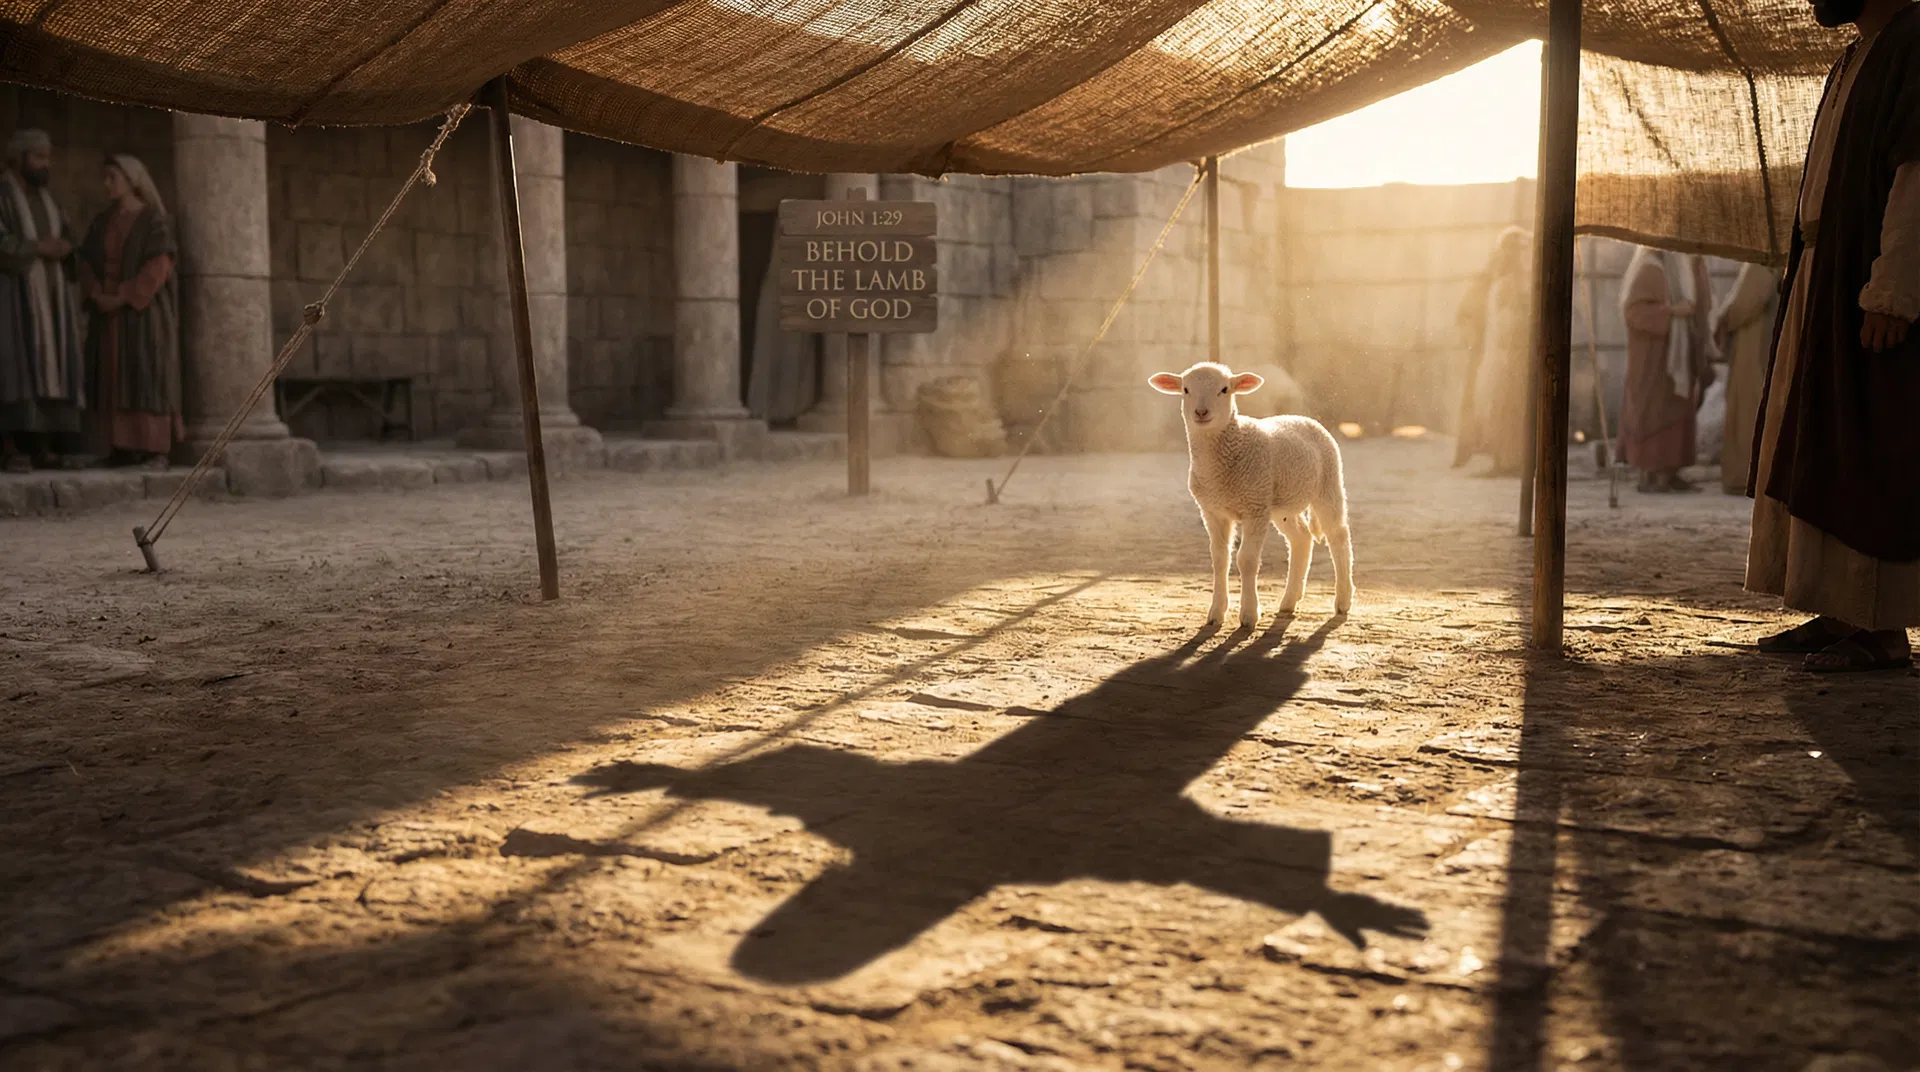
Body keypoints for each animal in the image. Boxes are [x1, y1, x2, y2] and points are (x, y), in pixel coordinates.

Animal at [1149, 362, 1354, 627]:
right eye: (1185, 389)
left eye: (1224, 389)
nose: (1201, 412)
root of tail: (1302, 417)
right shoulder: (1213, 511)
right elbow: (1220, 559)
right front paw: (1216, 613)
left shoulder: (1254, 507)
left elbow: (1246, 560)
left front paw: (1248, 615)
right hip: (1281, 505)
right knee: (1301, 538)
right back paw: (1289, 600)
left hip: (1328, 484)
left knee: (1338, 537)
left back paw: (1343, 600)